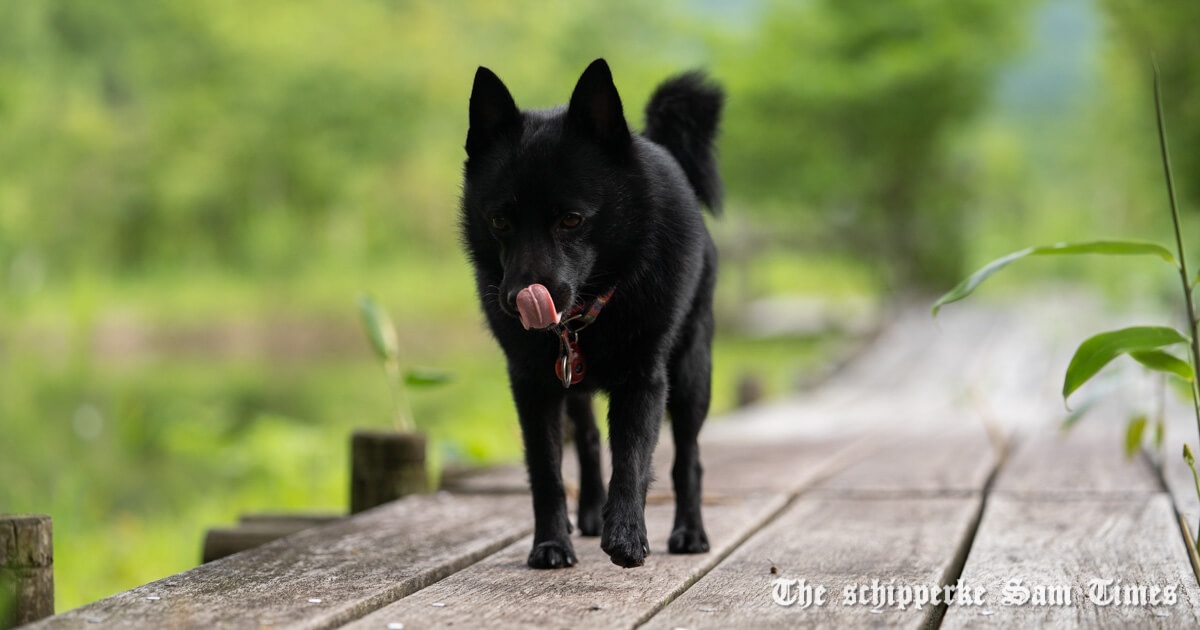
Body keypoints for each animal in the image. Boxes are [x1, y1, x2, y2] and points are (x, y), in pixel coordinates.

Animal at [458, 60, 720, 568]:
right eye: (500, 221)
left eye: (571, 220)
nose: (519, 297)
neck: (591, 312)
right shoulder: (533, 385)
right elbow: (546, 471)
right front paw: (550, 544)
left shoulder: (644, 379)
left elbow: (633, 459)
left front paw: (627, 537)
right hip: (572, 384)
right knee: (589, 438)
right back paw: (592, 514)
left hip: (692, 371)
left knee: (689, 457)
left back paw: (689, 531)